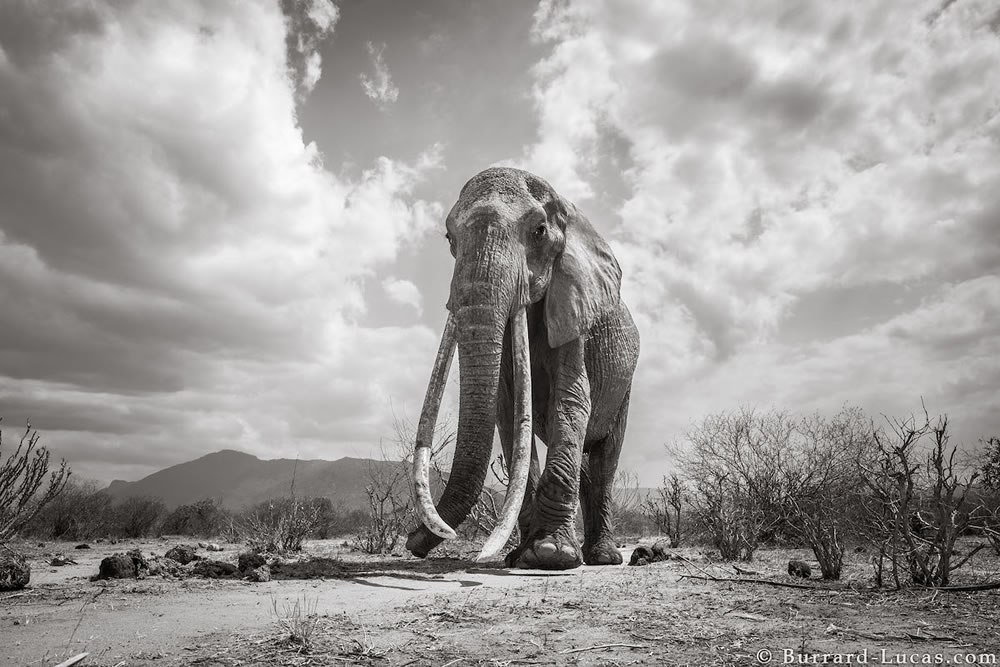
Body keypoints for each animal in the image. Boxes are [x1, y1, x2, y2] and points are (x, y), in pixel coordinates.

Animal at [404, 167, 640, 568]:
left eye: (539, 231)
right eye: (450, 237)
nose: (411, 542)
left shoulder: (573, 306)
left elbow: (571, 399)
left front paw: (551, 554)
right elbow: (510, 412)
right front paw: (522, 556)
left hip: (625, 385)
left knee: (606, 456)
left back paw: (603, 558)